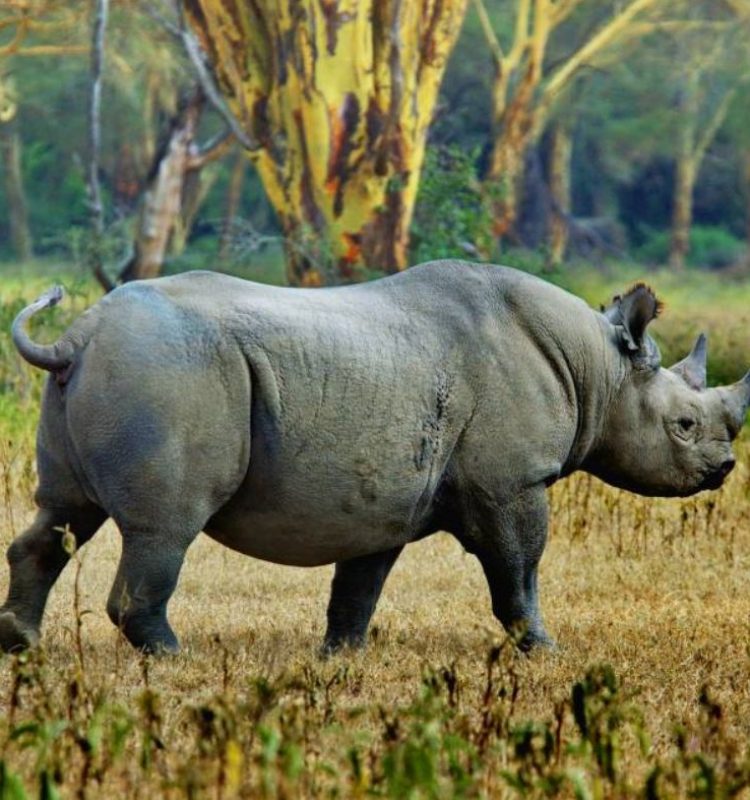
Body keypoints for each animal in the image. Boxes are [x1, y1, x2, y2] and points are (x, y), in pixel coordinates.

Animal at [1, 264, 750, 656]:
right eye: (684, 426)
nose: (723, 471)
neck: (599, 368)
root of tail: (77, 337)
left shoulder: (385, 499)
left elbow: (360, 582)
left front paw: (342, 655)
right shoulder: (511, 483)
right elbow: (519, 569)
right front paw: (541, 649)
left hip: (114, 372)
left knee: (63, 515)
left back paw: (21, 644)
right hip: (168, 370)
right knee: (165, 527)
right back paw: (173, 655)